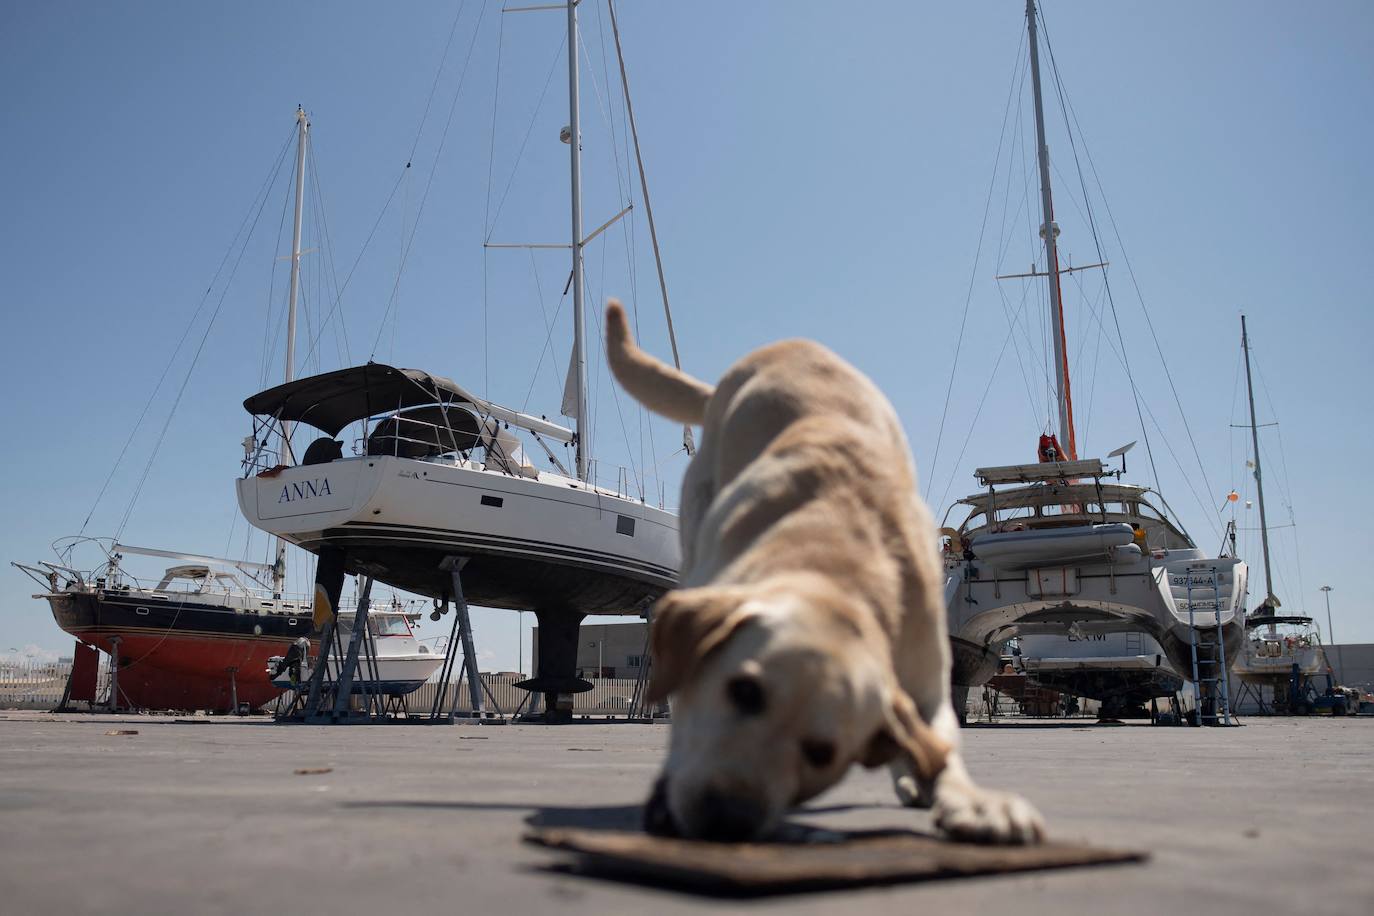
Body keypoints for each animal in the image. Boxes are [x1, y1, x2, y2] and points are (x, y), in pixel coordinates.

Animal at [607, 300, 1044, 845]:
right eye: (743, 691)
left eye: (822, 754)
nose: (727, 816)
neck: (838, 563)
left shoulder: (926, 683)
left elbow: (938, 744)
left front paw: (971, 799)